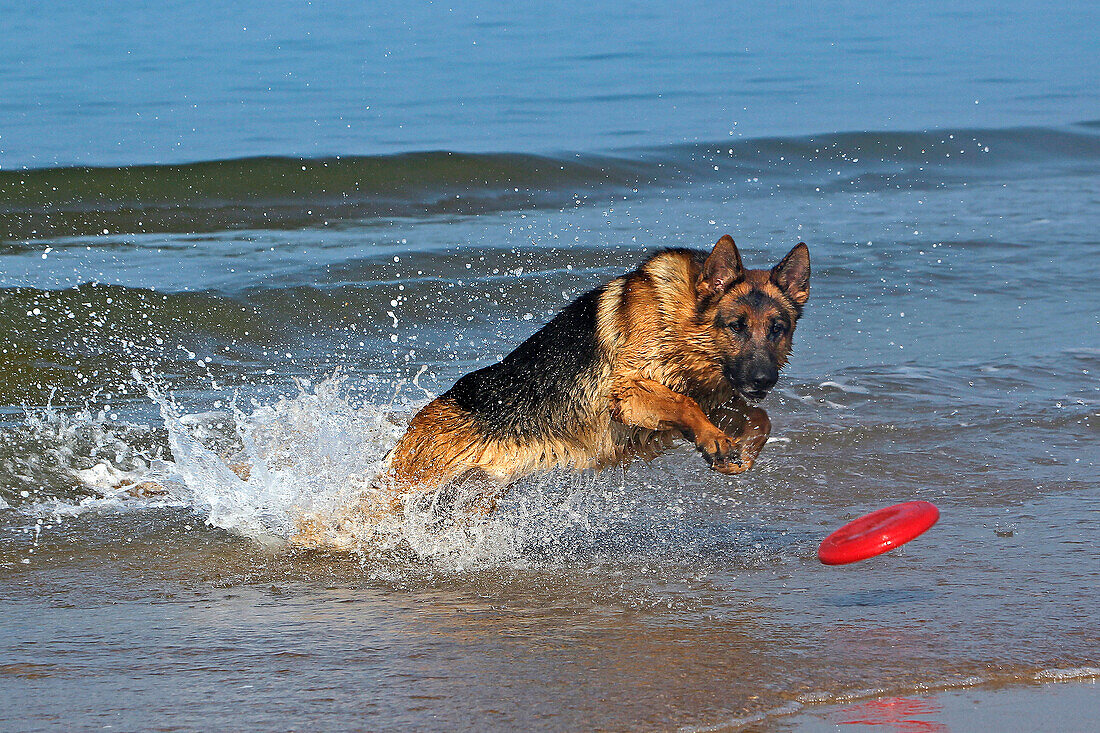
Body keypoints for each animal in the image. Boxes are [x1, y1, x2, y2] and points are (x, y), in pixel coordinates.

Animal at [292, 234, 809, 541]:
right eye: (736, 326)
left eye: (778, 329)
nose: (763, 379)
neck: (684, 321)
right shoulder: (631, 394)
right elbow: (684, 403)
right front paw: (716, 442)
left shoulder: (716, 399)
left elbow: (758, 417)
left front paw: (737, 452)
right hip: (406, 491)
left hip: (471, 499)